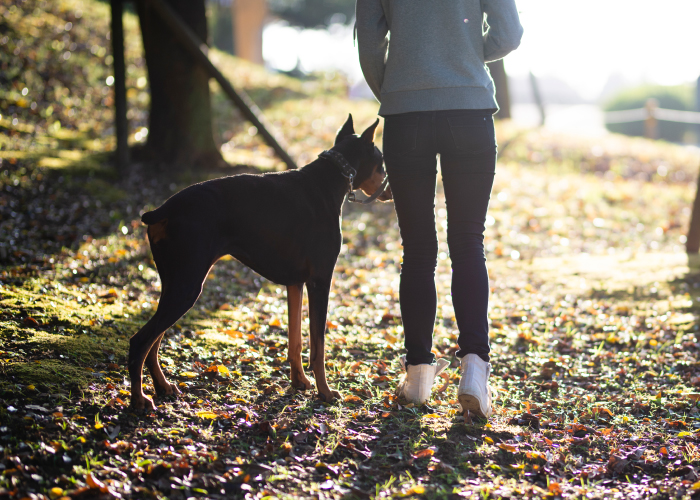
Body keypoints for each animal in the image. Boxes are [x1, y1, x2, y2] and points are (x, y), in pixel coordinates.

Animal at [129, 117, 392, 410]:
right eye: (382, 162)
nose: (391, 191)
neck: (331, 177)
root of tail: (162, 210)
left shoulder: (295, 283)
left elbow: (295, 341)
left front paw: (299, 381)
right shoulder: (320, 280)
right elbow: (318, 347)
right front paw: (324, 391)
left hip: (175, 283)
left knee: (154, 340)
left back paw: (162, 386)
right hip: (187, 286)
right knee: (140, 341)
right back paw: (139, 399)